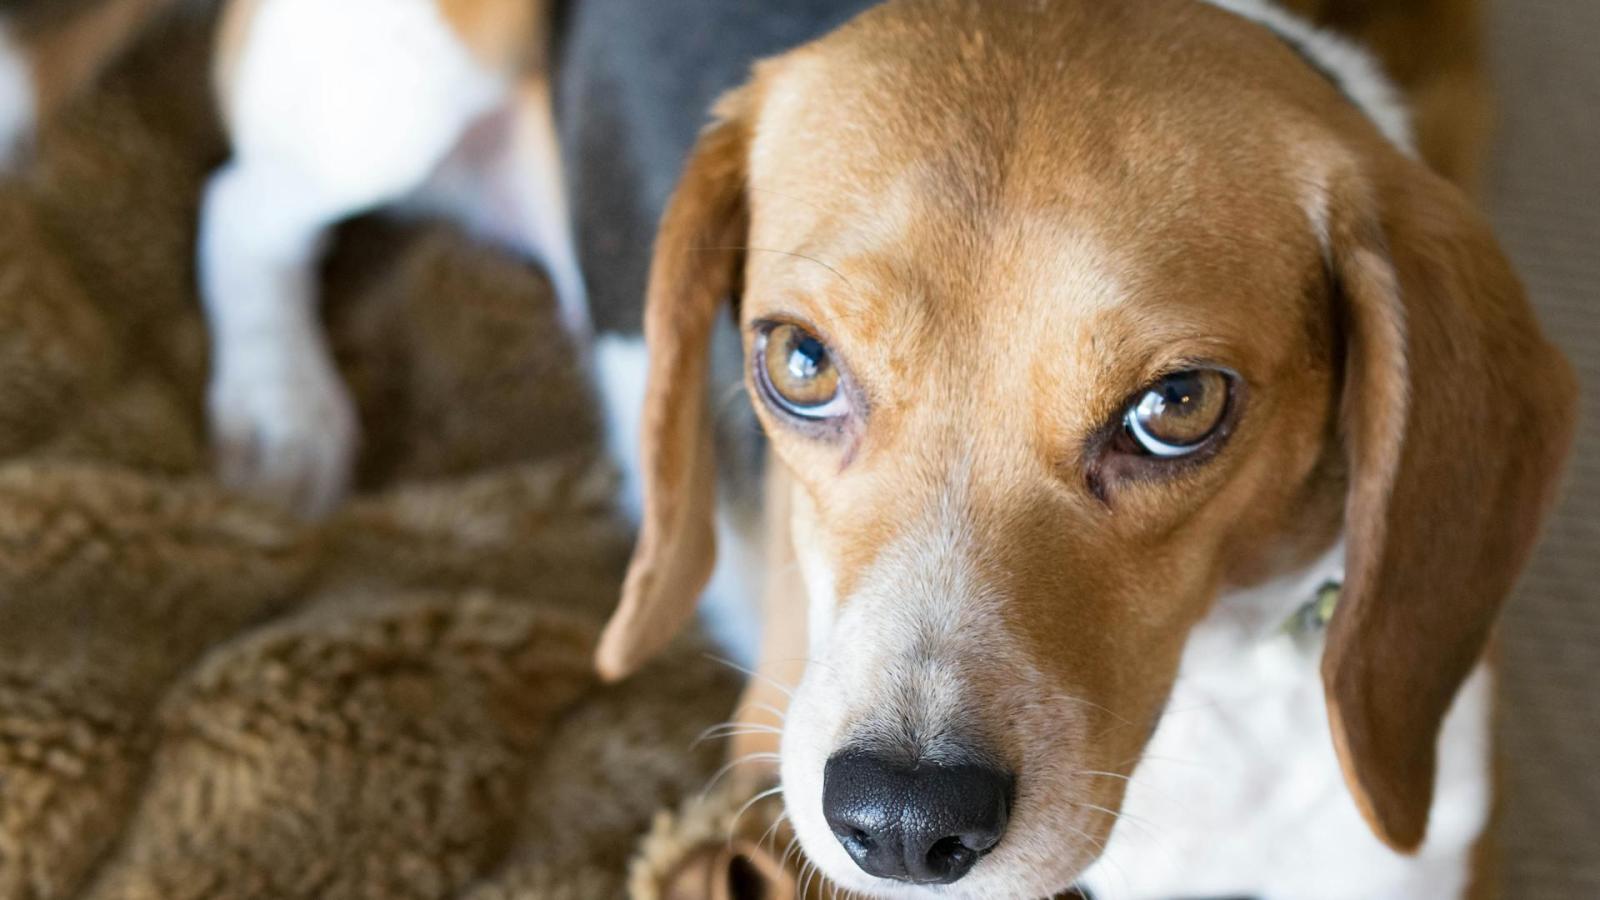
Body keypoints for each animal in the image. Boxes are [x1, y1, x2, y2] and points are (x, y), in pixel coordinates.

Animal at [0, 1, 1574, 896]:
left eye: (1180, 405)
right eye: (798, 363)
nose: (901, 823)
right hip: (397, 82)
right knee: (237, 206)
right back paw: (283, 411)